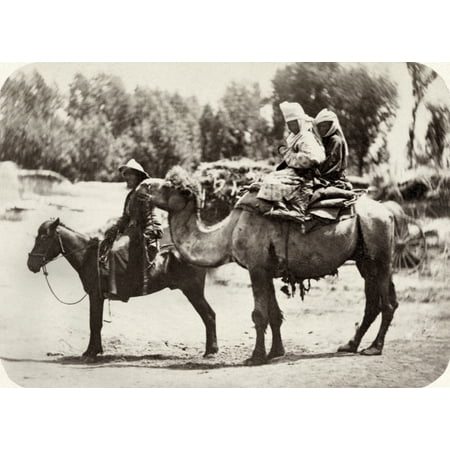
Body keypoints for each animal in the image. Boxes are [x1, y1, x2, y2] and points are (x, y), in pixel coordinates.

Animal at [140, 167, 398, 364]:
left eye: (167, 186)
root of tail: (388, 213)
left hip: (379, 251)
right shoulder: (268, 270)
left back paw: (374, 348)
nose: (143, 185)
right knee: (375, 303)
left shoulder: (256, 268)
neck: (228, 233)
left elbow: (259, 314)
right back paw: (350, 345)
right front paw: (276, 352)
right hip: (366, 260)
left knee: (386, 304)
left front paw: (255, 357)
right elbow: (275, 314)